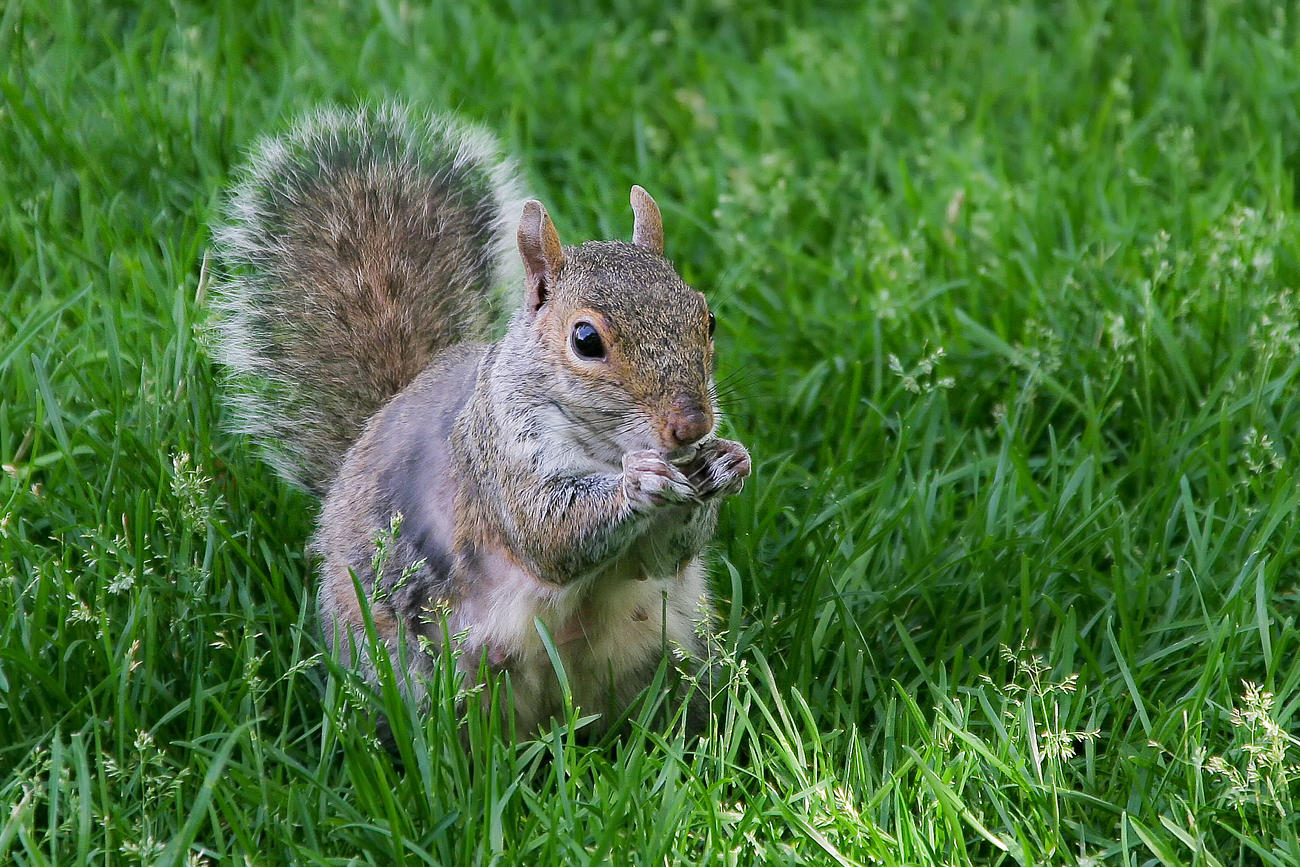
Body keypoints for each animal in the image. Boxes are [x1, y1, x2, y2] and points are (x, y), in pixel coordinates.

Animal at [204, 105, 754, 738]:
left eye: (706, 318)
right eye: (585, 339)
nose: (692, 426)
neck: (604, 445)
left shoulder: (652, 552)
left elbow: (662, 557)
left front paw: (729, 462)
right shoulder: (497, 458)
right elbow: (548, 534)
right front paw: (637, 482)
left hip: (670, 651)